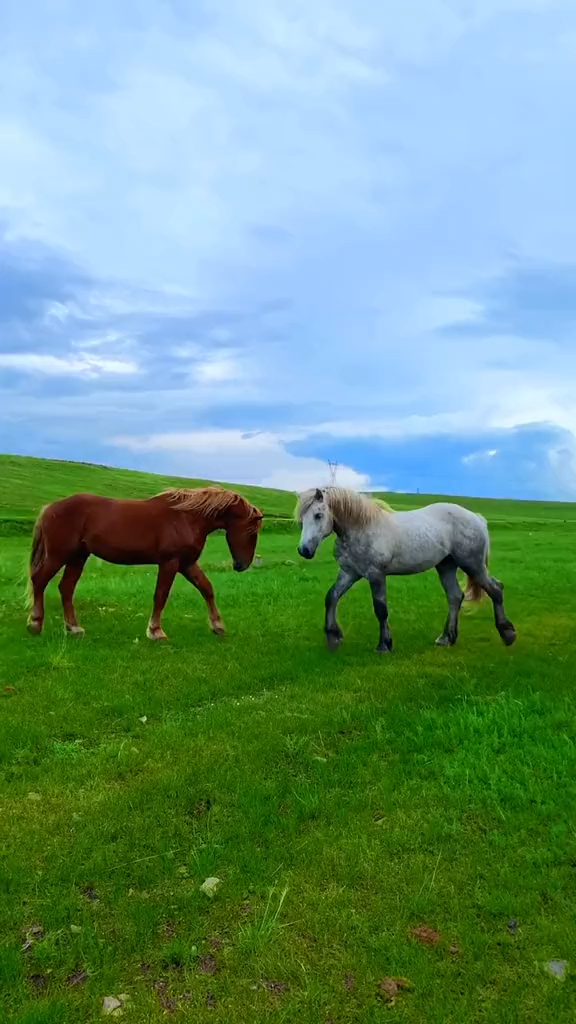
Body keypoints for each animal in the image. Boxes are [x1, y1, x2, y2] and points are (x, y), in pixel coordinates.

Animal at [25, 487, 261, 638]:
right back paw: (35, 624)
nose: (241, 565)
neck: (186, 518)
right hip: (58, 556)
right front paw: (155, 631)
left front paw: (218, 626)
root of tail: (49, 508)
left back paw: (74, 628)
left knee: (65, 588)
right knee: (39, 581)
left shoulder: (186, 563)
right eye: (252, 533)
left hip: (78, 557)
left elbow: (207, 588)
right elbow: (161, 595)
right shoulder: (170, 563)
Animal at [293, 489, 512, 651]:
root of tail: (476, 518)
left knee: (495, 589)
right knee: (455, 597)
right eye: (302, 519)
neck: (362, 527)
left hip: (473, 565)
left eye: (318, 515)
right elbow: (331, 597)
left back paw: (508, 634)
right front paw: (333, 637)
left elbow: (380, 609)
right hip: (446, 566)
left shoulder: (376, 575)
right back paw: (446, 638)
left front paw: (384, 645)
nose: (304, 551)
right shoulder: (349, 573)